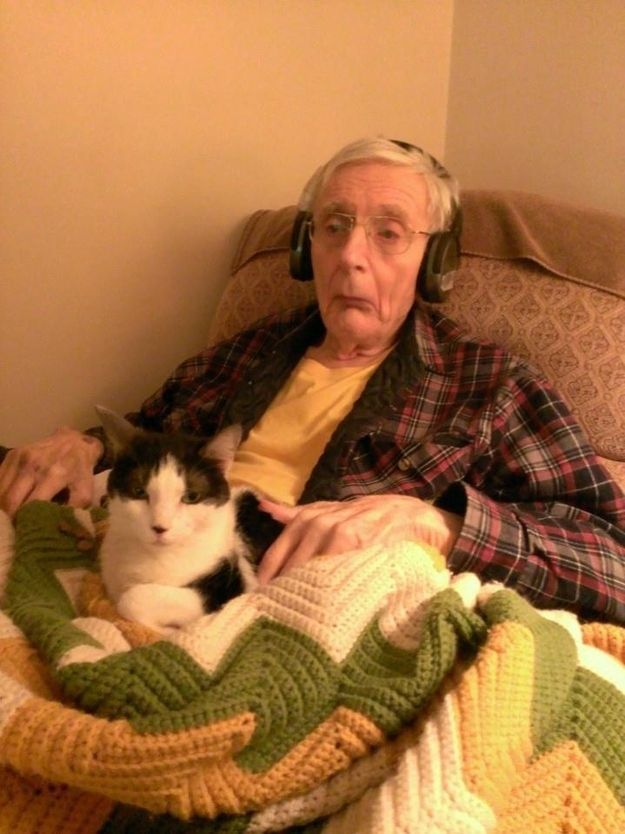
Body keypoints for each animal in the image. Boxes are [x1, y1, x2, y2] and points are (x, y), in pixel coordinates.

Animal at [96, 406, 283, 633]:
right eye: (139, 491)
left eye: (192, 497)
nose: (160, 527)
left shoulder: (224, 591)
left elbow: (132, 598)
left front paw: (166, 630)